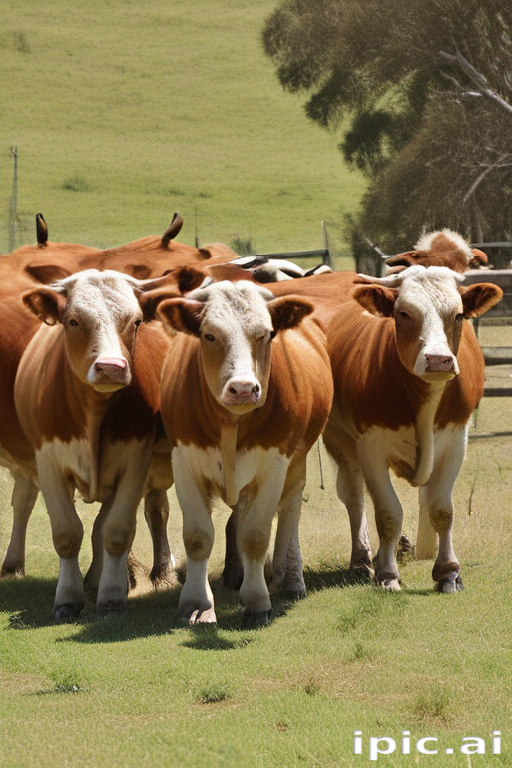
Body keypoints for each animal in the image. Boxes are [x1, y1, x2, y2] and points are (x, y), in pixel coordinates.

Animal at [12, 268, 201, 619]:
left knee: (152, 512)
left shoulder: (135, 462)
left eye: (136, 321)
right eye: (73, 320)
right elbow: (67, 532)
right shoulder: (48, 462)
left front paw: (112, 596)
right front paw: (68, 598)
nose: (111, 367)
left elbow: (115, 530)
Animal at [142, 274, 333, 626]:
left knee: (289, 513)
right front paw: (197, 603)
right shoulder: (184, 461)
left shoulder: (274, 465)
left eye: (266, 333)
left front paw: (257, 602)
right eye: (209, 335)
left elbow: (255, 536)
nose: (243, 388)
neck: (230, 423)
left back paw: (290, 577)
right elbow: (199, 536)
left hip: (296, 465)